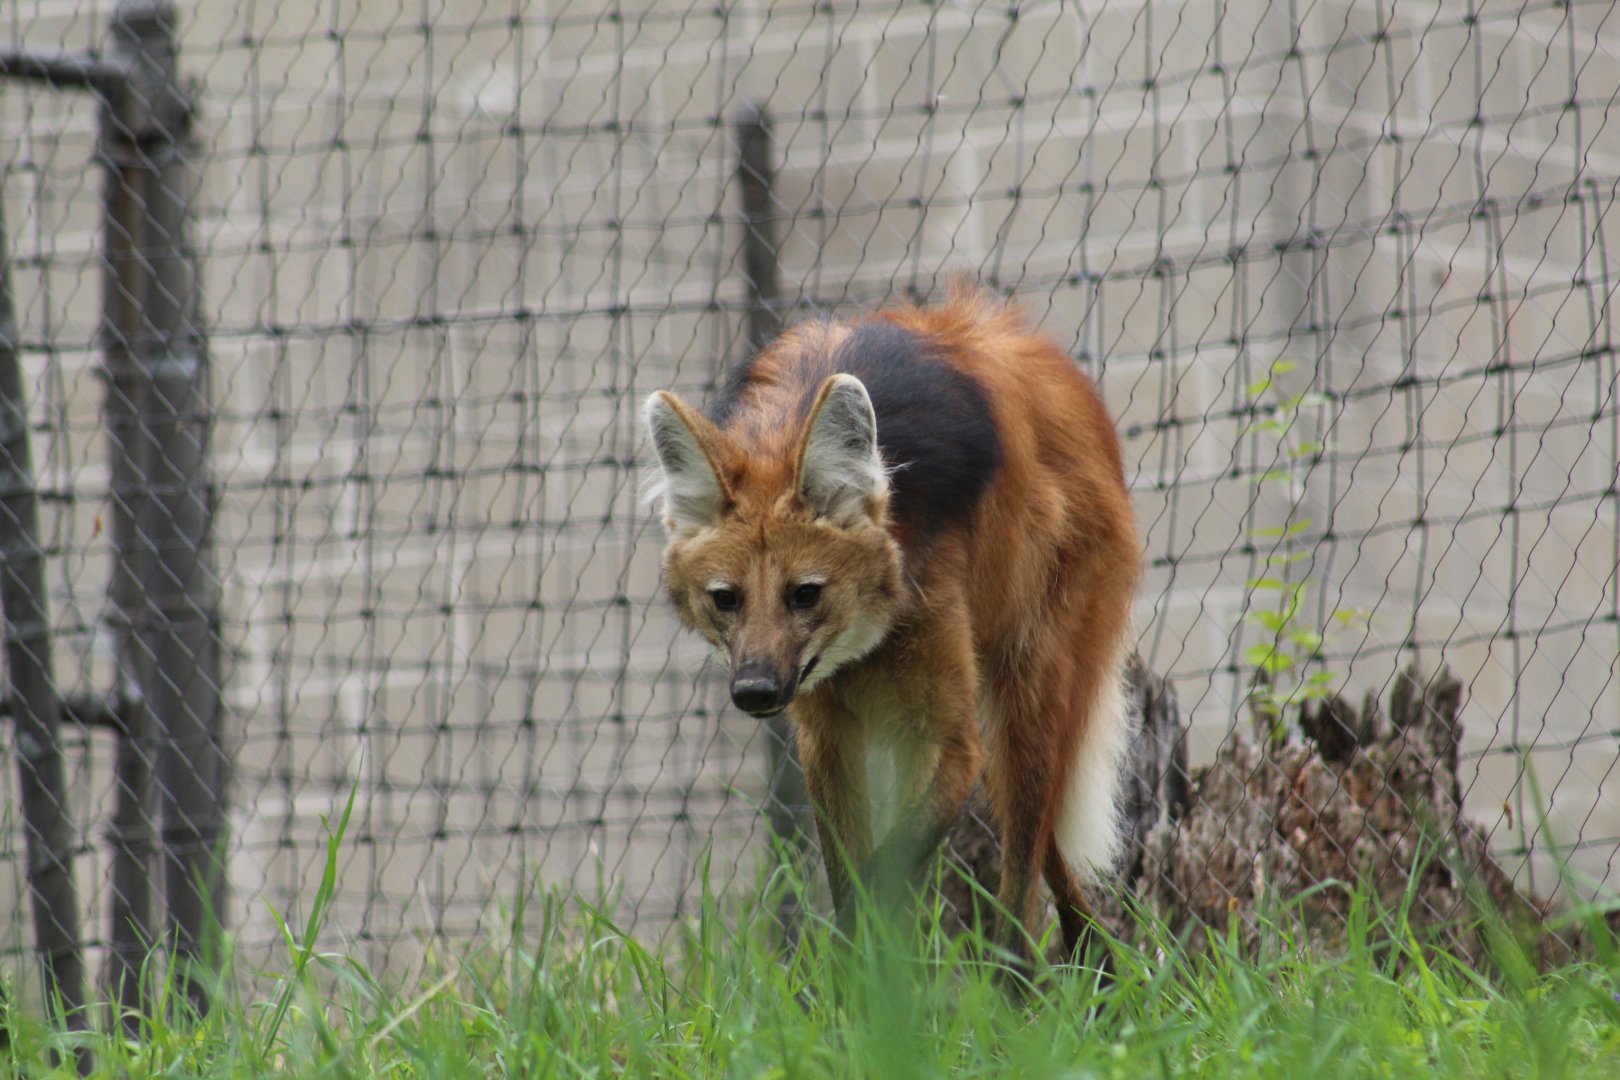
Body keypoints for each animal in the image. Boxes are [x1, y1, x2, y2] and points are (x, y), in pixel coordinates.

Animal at [644, 286, 1140, 966]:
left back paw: (1020, 984)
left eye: (806, 594)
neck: (865, 645)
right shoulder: (825, 735)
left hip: (1024, 688)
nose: (755, 692)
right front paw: (862, 985)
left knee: (1021, 870)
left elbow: (881, 876)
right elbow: (854, 882)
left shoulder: (954, 744)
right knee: (1044, 854)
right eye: (726, 599)